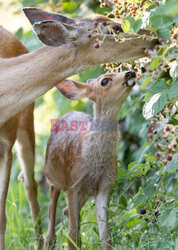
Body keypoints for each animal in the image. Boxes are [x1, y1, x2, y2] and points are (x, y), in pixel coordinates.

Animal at [44, 70, 136, 248]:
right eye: (104, 81)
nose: (130, 72)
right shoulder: (74, 184)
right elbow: (72, 237)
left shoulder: (104, 185)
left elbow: (105, 235)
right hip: (53, 177)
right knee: (52, 213)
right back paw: (48, 241)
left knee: (66, 212)